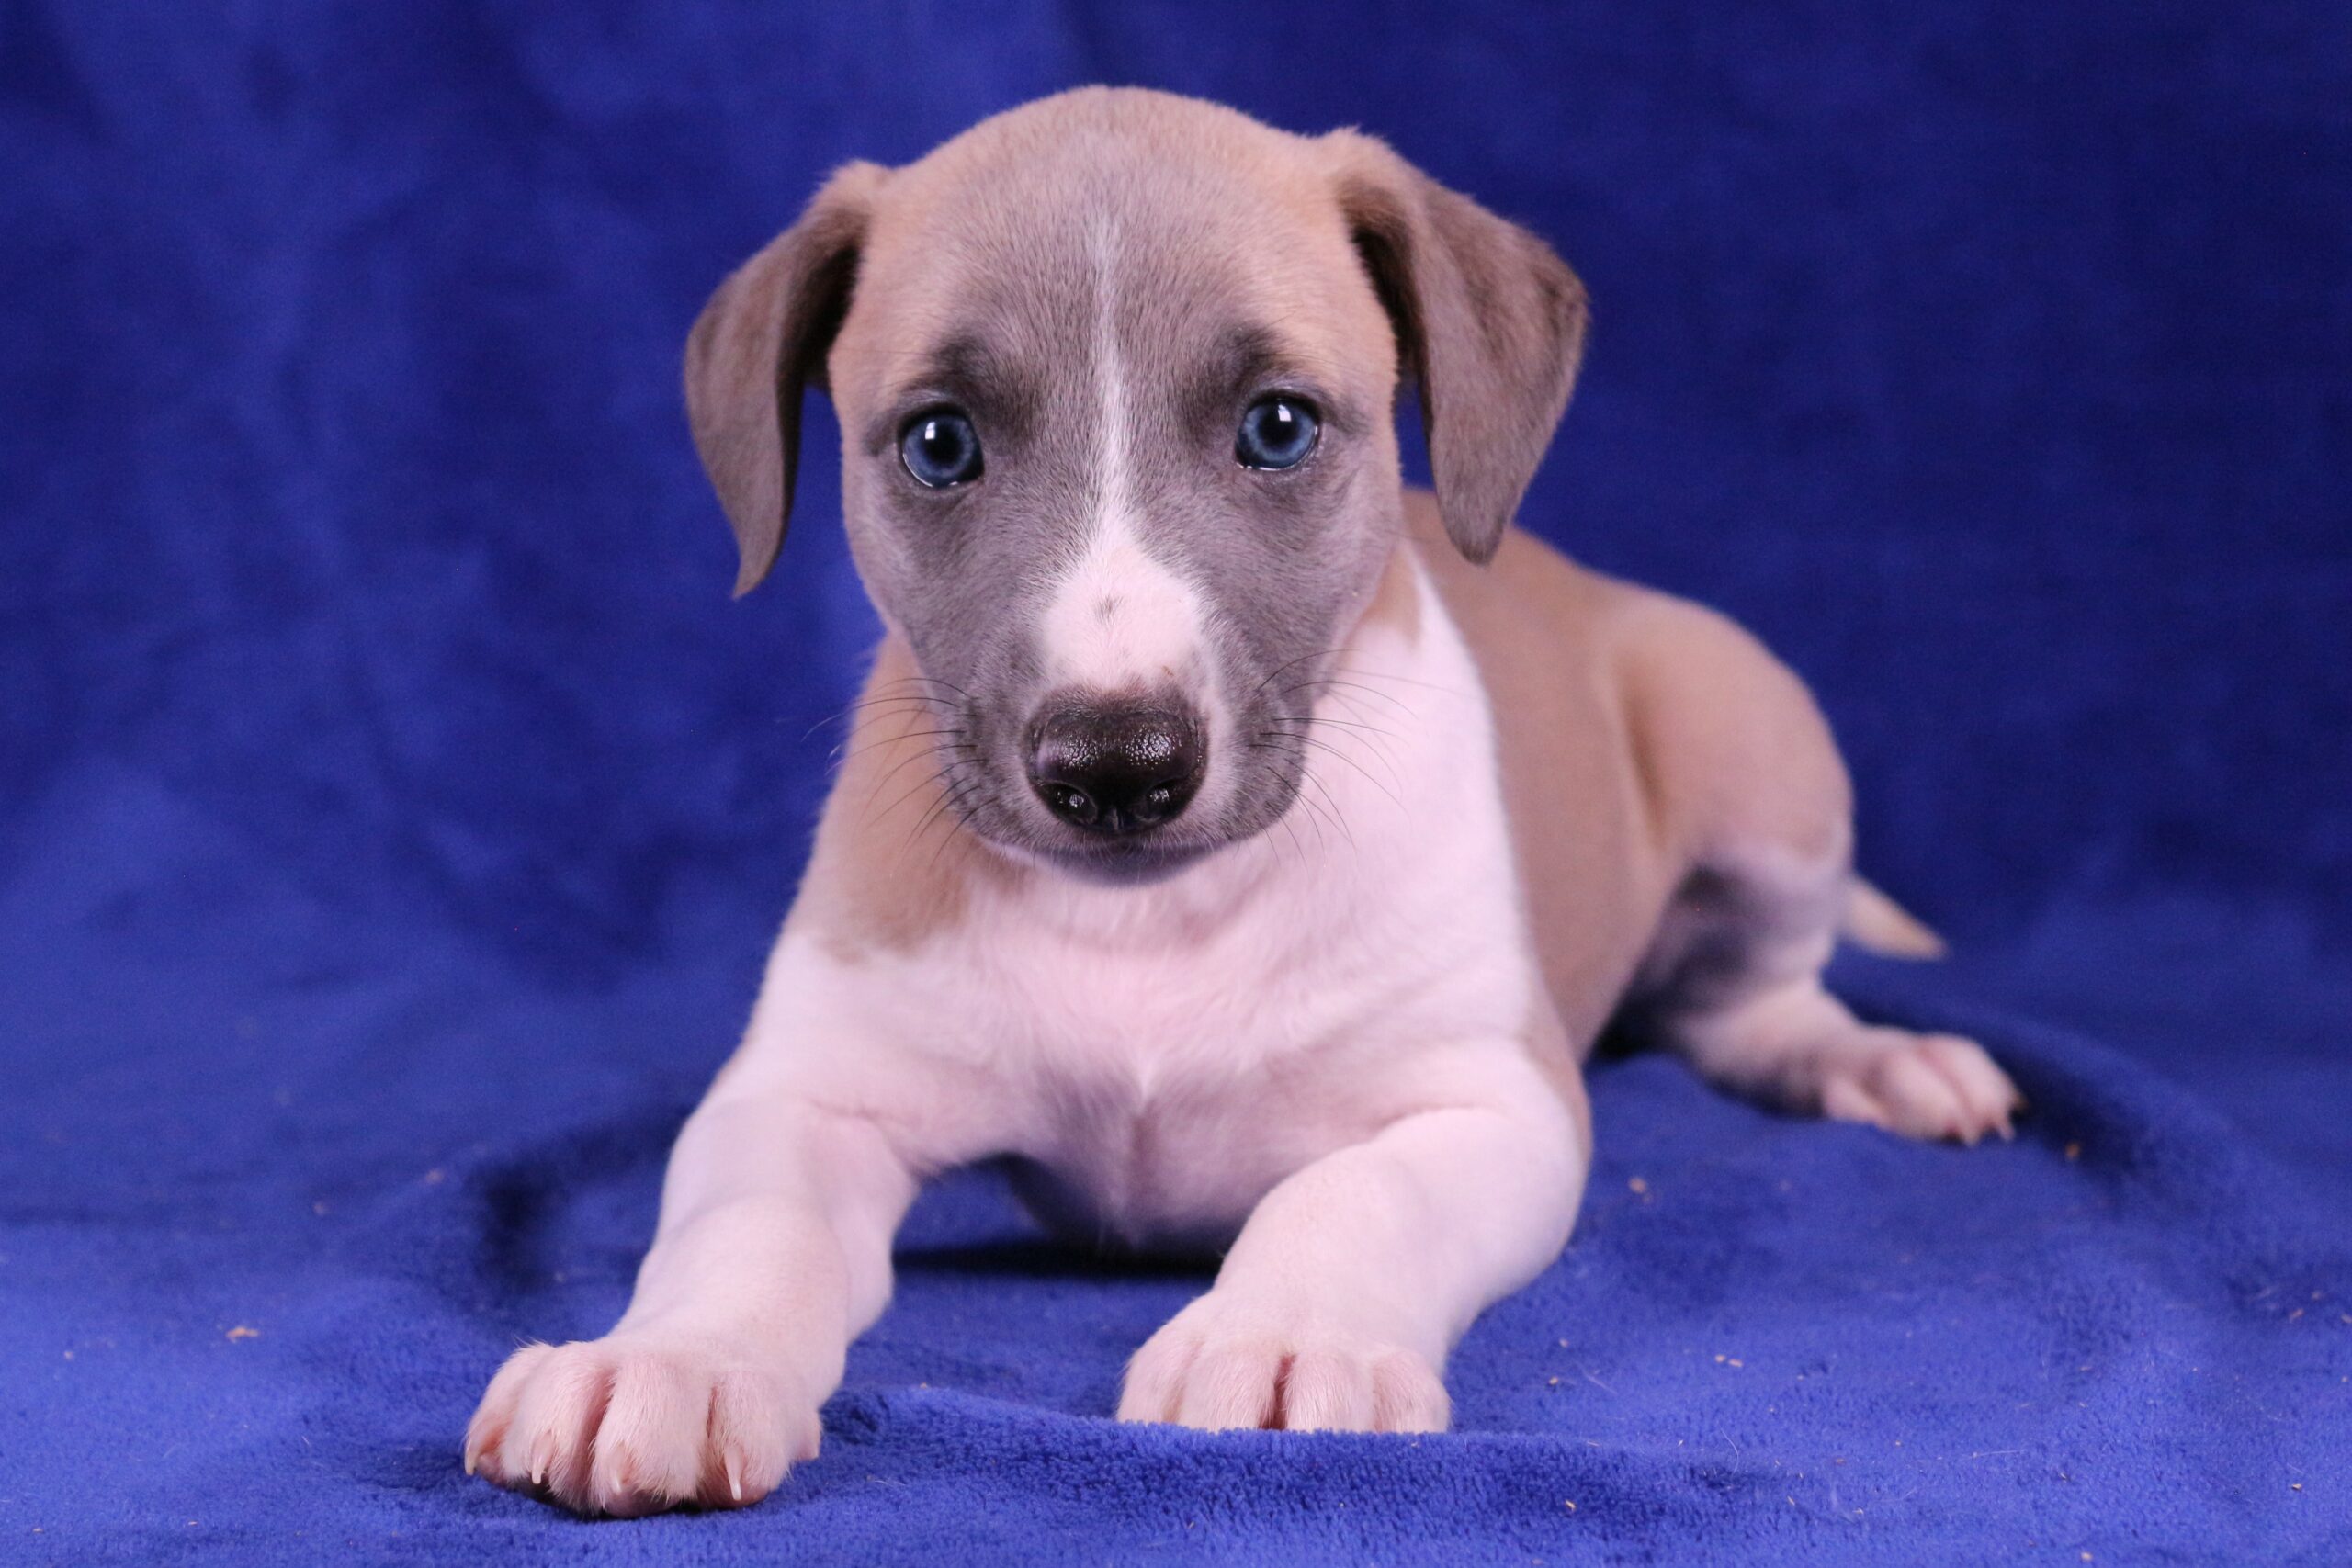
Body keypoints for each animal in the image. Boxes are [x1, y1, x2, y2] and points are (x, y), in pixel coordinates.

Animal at [463, 87, 2021, 1517]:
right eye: (939, 442)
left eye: (1278, 426)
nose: (1117, 764)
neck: (1154, 925)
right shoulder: (806, 1093)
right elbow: (745, 1224)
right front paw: (672, 1357)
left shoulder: (1488, 1100)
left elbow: (1349, 1190)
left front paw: (1281, 1334)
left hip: (1755, 747)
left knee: (1754, 999)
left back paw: (1878, 1058)